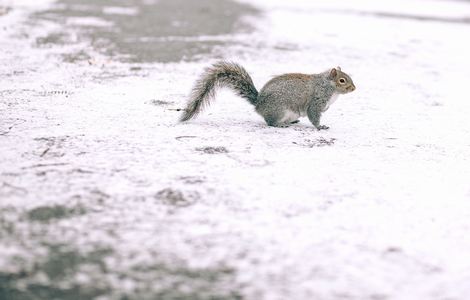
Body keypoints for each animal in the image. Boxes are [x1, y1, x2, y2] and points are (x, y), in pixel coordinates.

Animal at [178, 61, 354, 129]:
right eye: (342, 80)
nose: (354, 88)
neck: (328, 85)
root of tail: (258, 104)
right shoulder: (316, 101)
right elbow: (314, 115)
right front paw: (320, 126)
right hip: (280, 110)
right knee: (270, 122)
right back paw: (280, 125)